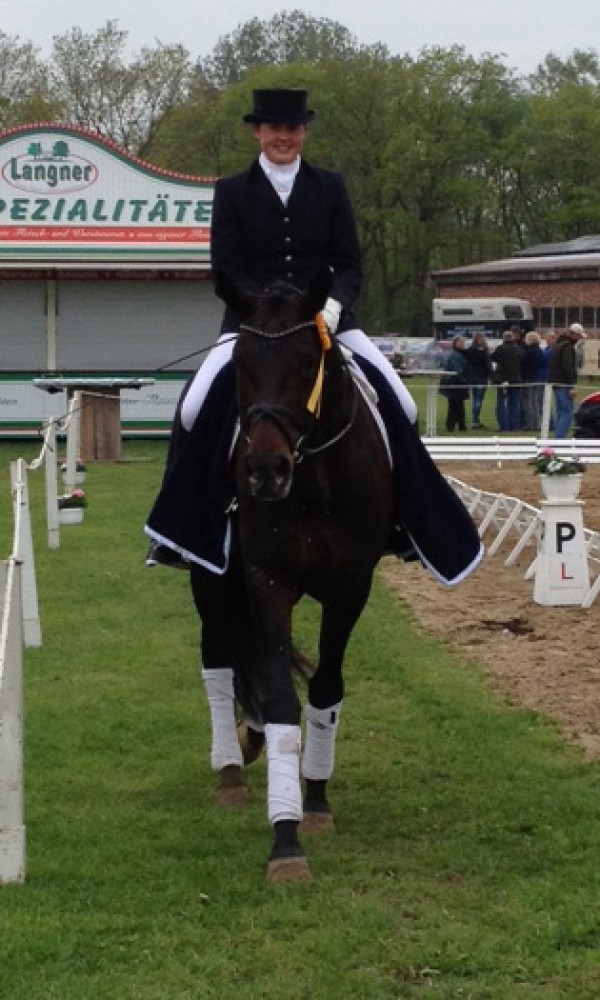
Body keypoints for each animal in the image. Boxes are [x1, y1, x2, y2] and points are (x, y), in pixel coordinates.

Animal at [189, 276, 394, 884]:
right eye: (240, 361)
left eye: (308, 361)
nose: (264, 471)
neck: (315, 478)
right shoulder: (267, 580)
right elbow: (282, 698)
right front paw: (285, 839)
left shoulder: (351, 587)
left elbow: (325, 688)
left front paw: (317, 800)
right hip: (212, 582)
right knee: (218, 660)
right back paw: (231, 770)